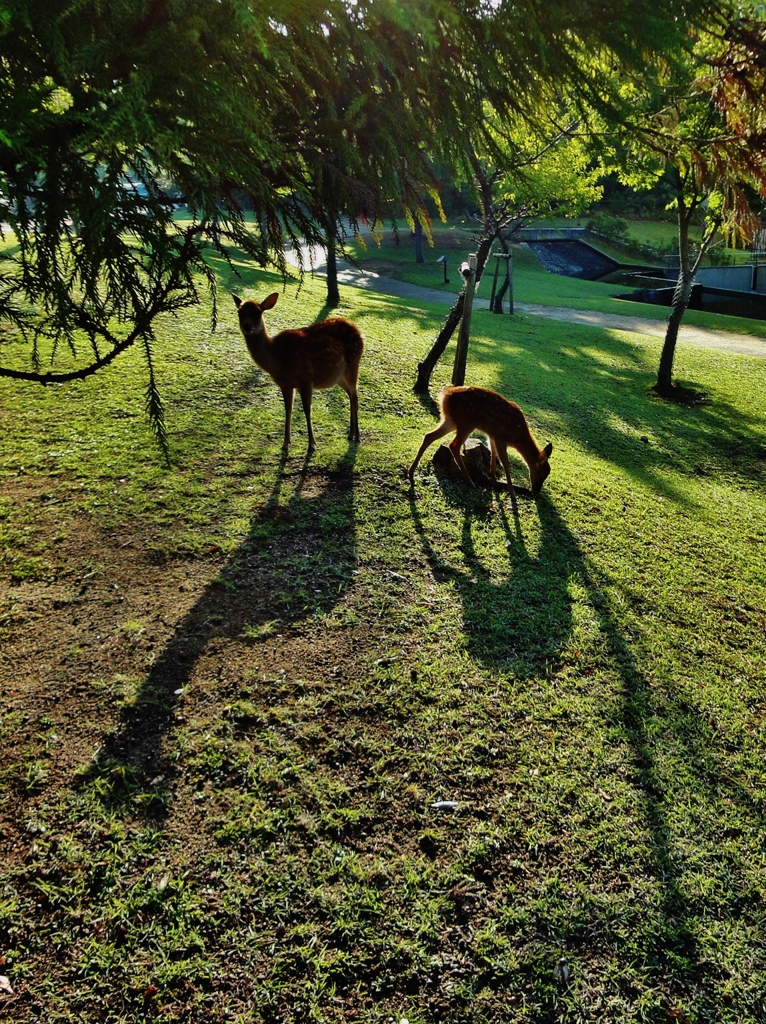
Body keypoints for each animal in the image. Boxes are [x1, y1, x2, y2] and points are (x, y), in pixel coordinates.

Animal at [231, 288, 364, 448]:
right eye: (239, 312)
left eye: (258, 312)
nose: (247, 326)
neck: (278, 358)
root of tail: (359, 332)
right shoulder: (285, 384)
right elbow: (288, 409)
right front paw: (285, 443)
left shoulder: (306, 378)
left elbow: (307, 409)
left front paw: (312, 444)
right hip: (338, 376)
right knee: (350, 394)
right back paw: (350, 434)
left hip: (353, 363)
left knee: (355, 395)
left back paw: (357, 436)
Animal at [409, 385, 552, 495]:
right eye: (541, 474)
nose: (536, 491)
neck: (517, 437)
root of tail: (446, 394)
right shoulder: (501, 437)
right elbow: (505, 462)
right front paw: (512, 492)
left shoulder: (492, 435)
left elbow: (493, 453)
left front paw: (493, 476)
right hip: (466, 422)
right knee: (453, 445)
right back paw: (470, 481)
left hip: (451, 420)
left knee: (429, 436)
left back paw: (411, 474)